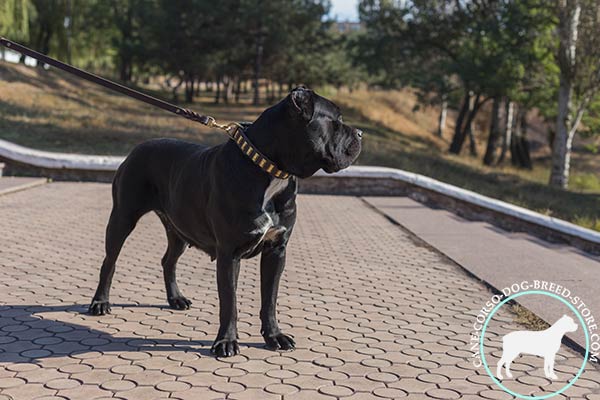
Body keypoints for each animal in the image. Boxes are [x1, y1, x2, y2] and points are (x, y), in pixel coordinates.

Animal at [88, 86, 360, 356]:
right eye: (336, 121)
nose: (360, 133)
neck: (271, 171)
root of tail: (138, 147)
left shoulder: (276, 250)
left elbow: (270, 299)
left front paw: (274, 336)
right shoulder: (229, 253)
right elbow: (230, 301)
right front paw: (226, 342)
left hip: (179, 228)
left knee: (168, 261)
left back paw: (176, 299)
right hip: (122, 217)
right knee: (109, 261)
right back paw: (100, 302)